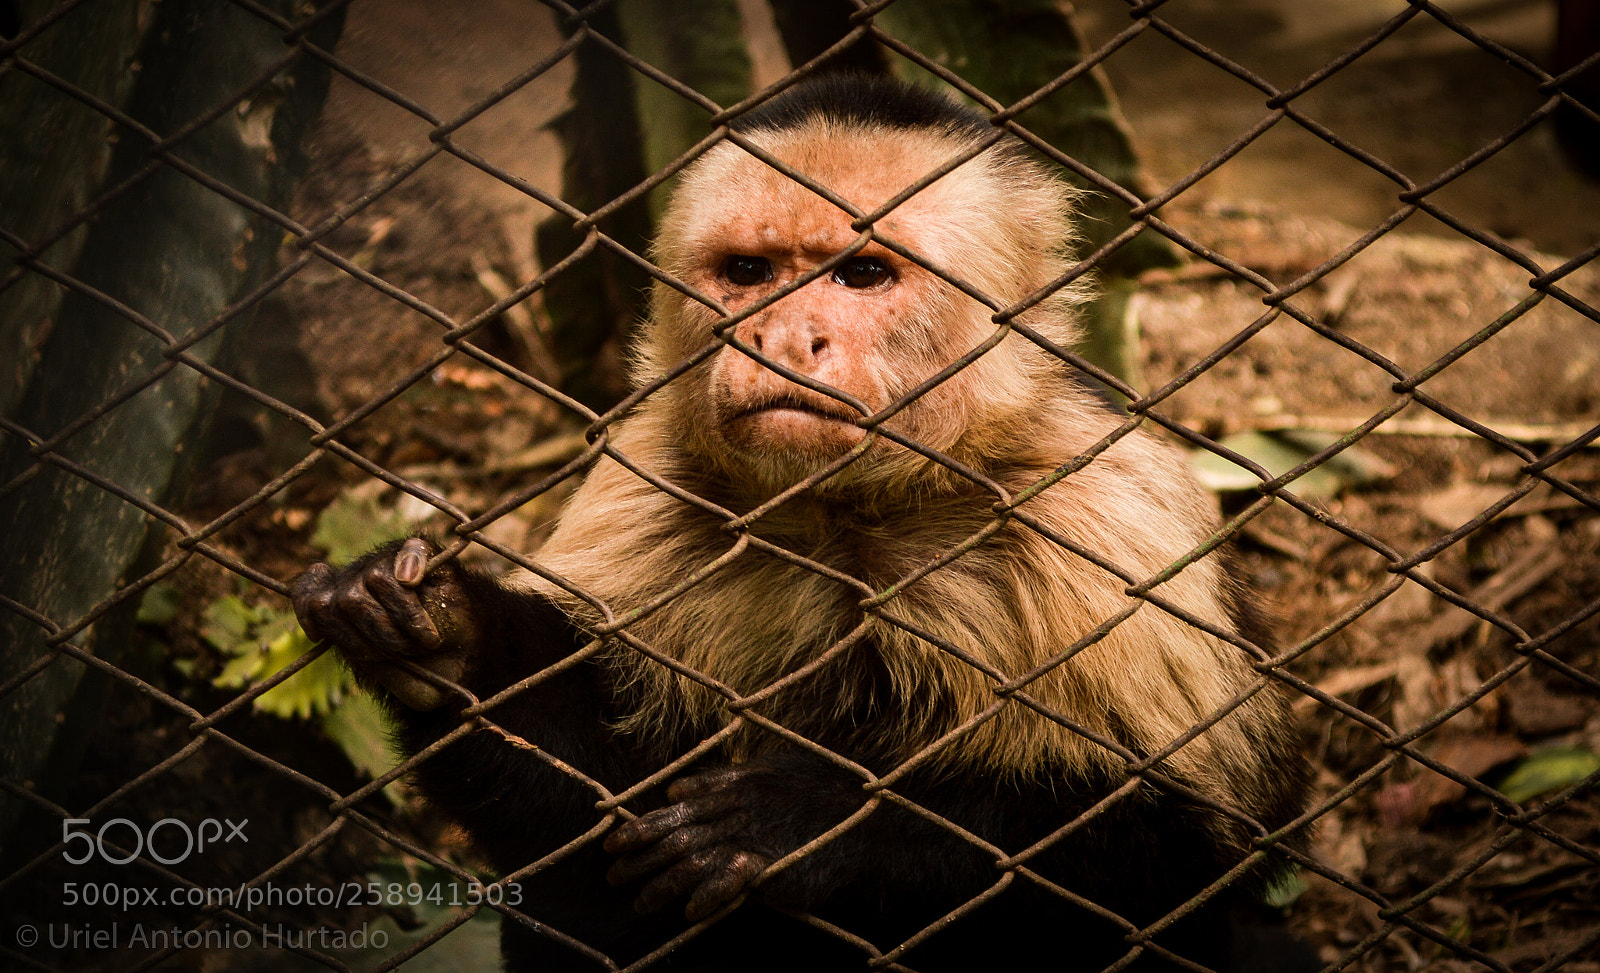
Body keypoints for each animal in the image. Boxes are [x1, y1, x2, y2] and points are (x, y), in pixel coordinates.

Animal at [293, 74, 1316, 972]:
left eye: (862, 273)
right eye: (749, 272)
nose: (784, 337)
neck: (850, 515)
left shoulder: (1108, 511)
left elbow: (1194, 851)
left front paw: (814, 827)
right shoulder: (650, 483)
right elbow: (600, 804)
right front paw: (441, 639)